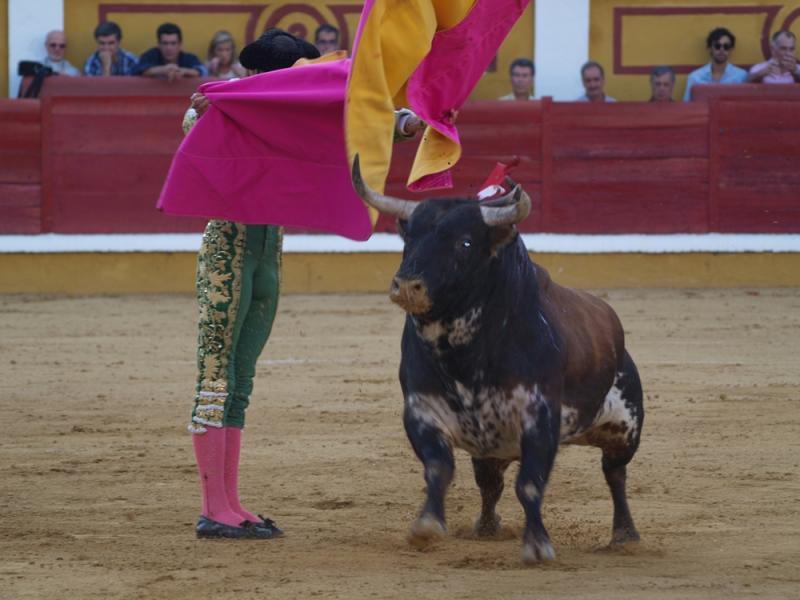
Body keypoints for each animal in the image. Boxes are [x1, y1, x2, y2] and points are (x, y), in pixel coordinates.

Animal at [354, 156, 648, 564]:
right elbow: (438, 467)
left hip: (625, 426)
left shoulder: (540, 417)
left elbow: (530, 484)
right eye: (408, 238)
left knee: (615, 474)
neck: (465, 352)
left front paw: (538, 545)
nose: (408, 287)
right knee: (490, 483)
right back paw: (487, 529)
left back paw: (625, 536)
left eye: (465, 242)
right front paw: (426, 526)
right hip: (492, 447)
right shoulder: (422, 410)